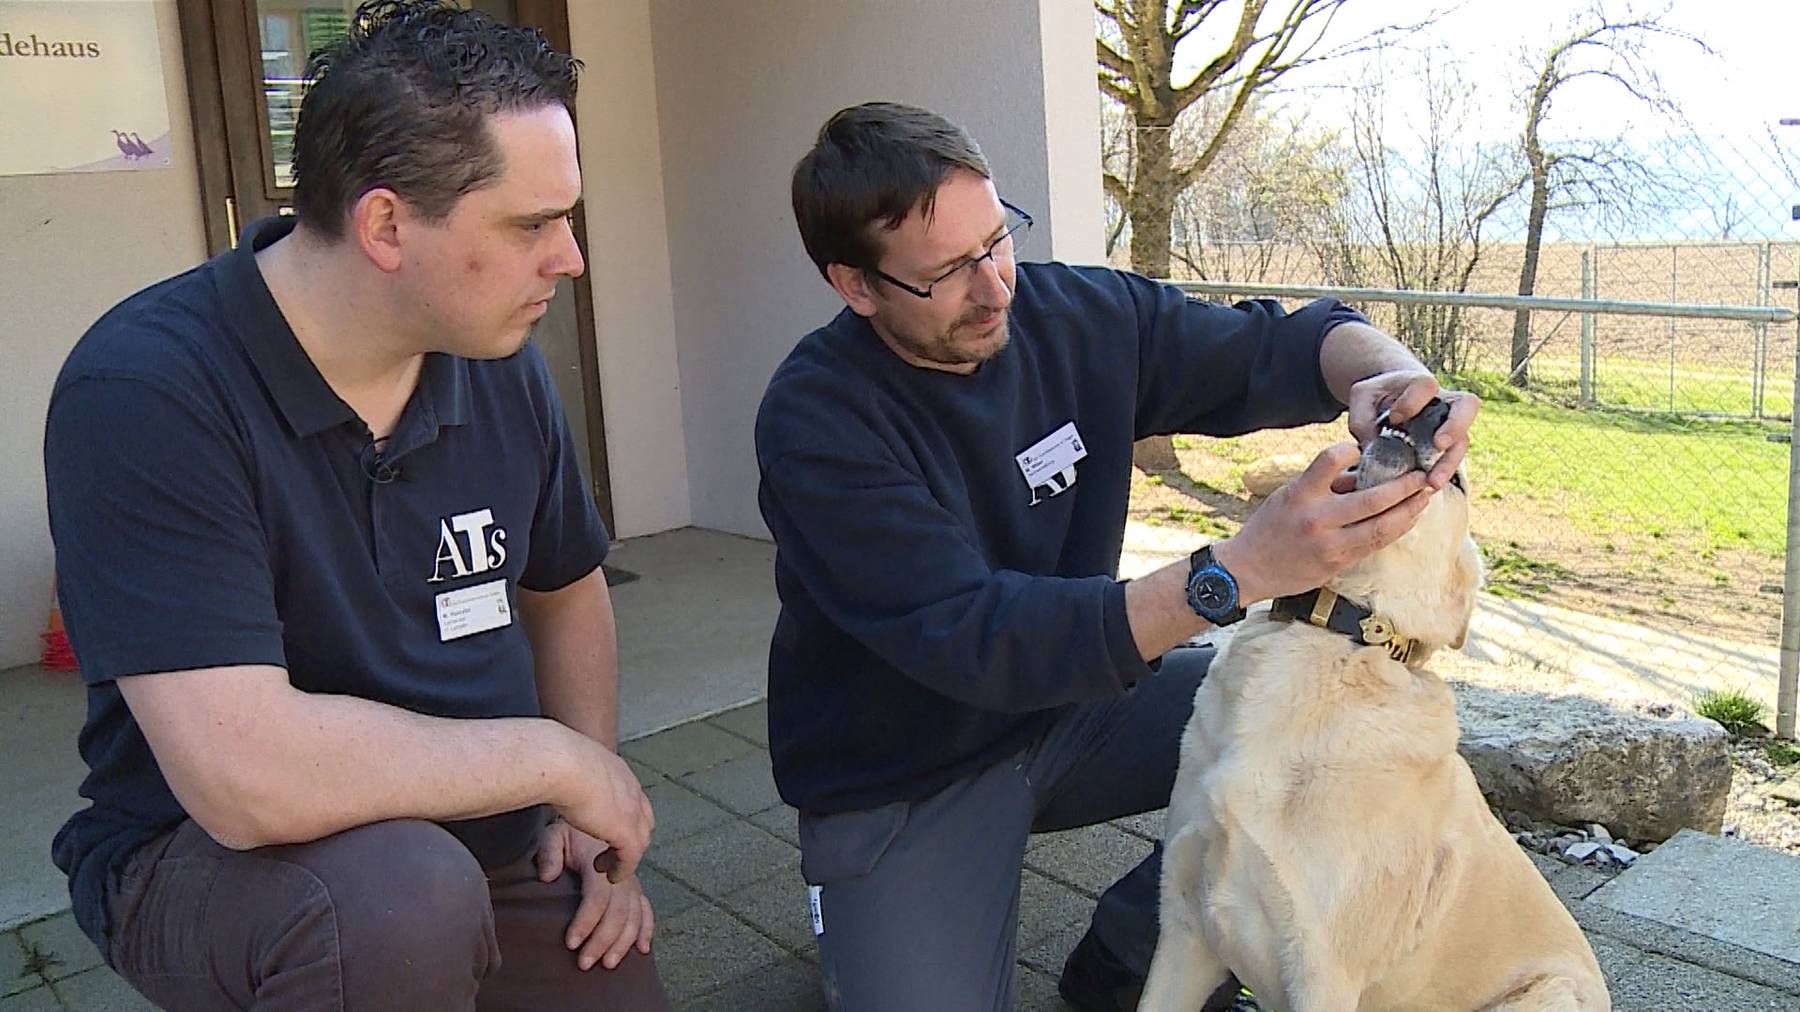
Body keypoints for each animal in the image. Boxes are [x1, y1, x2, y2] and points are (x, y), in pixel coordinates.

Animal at [1137, 401, 1605, 1008]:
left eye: (1456, 481)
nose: (1437, 404)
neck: (1338, 636)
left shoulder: (1324, 974)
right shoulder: (1183, 930)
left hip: (1549, 994)